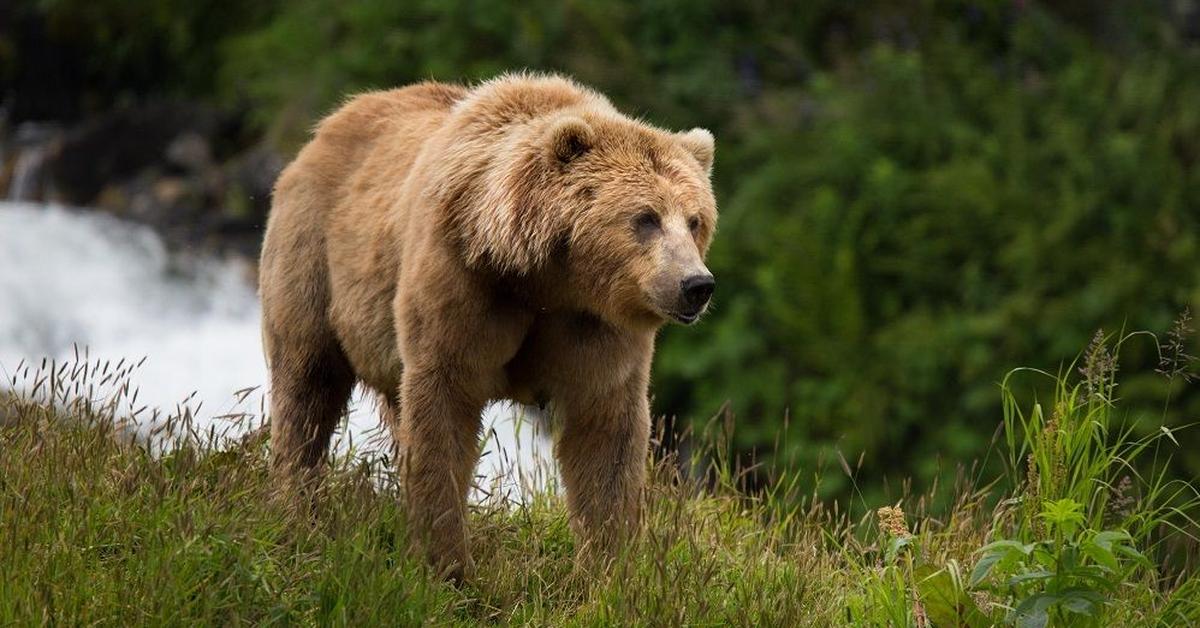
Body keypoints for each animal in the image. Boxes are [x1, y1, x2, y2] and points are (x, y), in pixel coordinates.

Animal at [259, 73, 715, 581]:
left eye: (695, 220)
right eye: (645, 218)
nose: (696, 285)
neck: (545, 278)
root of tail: (328, 126)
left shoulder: (595, 325)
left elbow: (605, 434)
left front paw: (608, 565)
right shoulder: (462, 286)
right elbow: (443, 413)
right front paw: (446, 563)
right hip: (314, 256)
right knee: (307, 386)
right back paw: (296, 507)